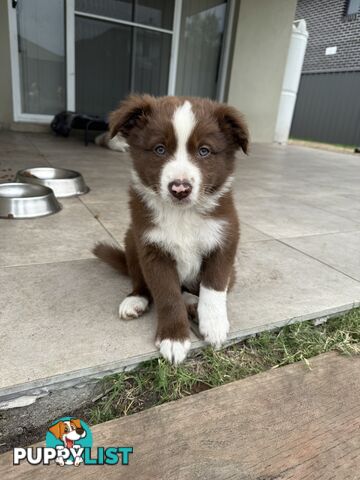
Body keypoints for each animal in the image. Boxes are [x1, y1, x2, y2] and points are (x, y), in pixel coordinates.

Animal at [94, 94, 249, 364]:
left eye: (204, 151)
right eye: (159, 149)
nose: (180, 188)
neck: (182, 214)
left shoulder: (225, 238)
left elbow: (214, 288)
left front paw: (214, 325)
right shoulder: (151, 247)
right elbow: (167, 295)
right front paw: (174, 339)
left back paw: (194, 304)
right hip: (131, 241)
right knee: (142, 282)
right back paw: (136, 300)